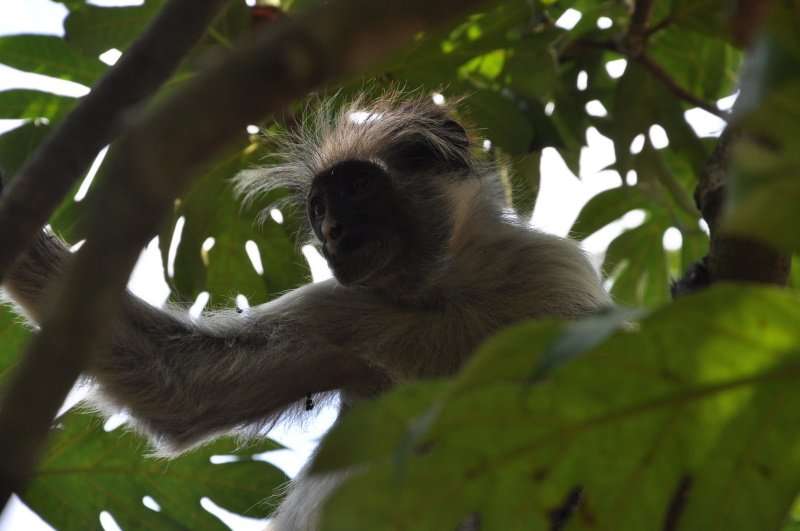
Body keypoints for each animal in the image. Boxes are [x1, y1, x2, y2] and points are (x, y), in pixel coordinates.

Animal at [1, 93, 612, 528]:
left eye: (358, 188)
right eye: (319, 207)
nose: (333, 232)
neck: (442, 293)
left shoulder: (551, 273)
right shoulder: (343, 307)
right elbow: (178, 384)